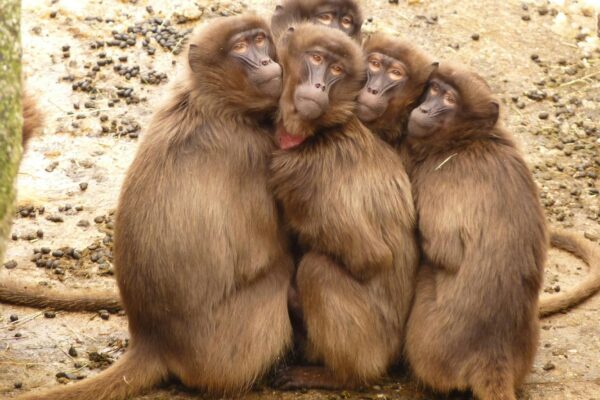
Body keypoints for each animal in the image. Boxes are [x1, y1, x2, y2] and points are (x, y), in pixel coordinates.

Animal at [16, 13, 292, 400]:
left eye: (260, 40)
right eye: (240, 47)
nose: (266, 62)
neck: (211, 102)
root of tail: (153, 340)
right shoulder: (253, 150)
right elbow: (267, 253)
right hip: (228, 351)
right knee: (282, 273)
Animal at [270, 23, 418, 390]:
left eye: (336, 70)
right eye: (316, 59)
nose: (319, 85)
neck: (320, 132)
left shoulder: (309, 175)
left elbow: (370, 258)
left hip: (372, 345)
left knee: (317, 269)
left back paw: (338, 376)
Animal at [406, 64, 548, 398]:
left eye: (449, 98)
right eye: (434, 89)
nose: (425, 108)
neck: (467, 142)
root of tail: (491, 355)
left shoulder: (439, 177)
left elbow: (443, 251)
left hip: (433, 343)